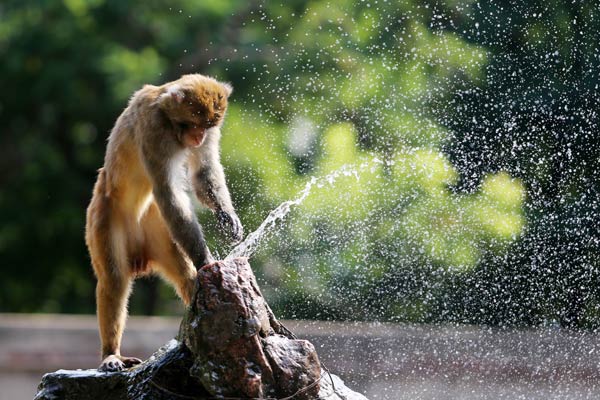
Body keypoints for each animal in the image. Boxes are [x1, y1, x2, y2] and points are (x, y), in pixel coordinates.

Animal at [85, 74, 244, 372]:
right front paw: (205, 258)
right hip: (103, 217)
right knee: (114, 278)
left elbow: (203, 171)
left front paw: (227, 216)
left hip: (157, 230)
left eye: (208, 126)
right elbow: (167, 190)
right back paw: (111, 354)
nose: (199, 137)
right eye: (195, 124)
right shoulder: (153, 128)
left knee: (184, 275)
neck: (171, 121)